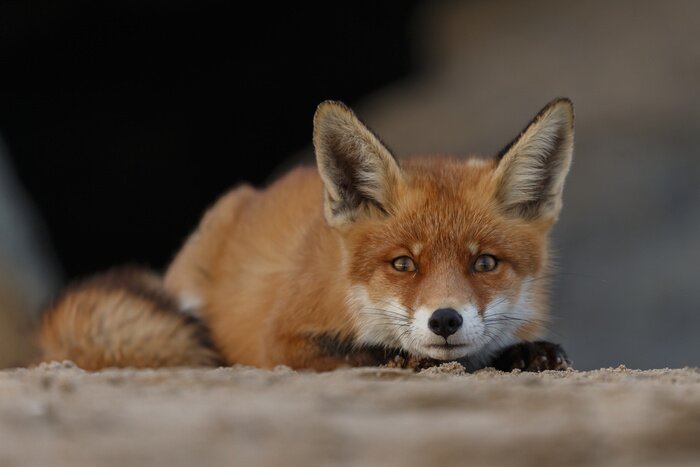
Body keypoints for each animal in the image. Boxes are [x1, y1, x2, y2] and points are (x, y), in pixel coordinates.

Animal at [38, 98, 575, 372]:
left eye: (484, 263)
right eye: (403, 264)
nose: (444, 320)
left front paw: (526, 352)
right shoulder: (279, 340)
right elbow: (356, 351)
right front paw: (400, 357)